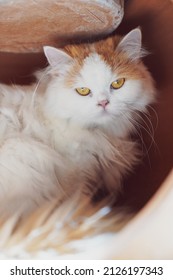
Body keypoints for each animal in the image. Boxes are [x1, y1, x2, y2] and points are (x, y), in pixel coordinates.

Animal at [0, 27, 155, 217]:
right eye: (83, 90)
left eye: (117, 83)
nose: (103, 103)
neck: (101, 132)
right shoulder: (78, 173)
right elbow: (80, 200)